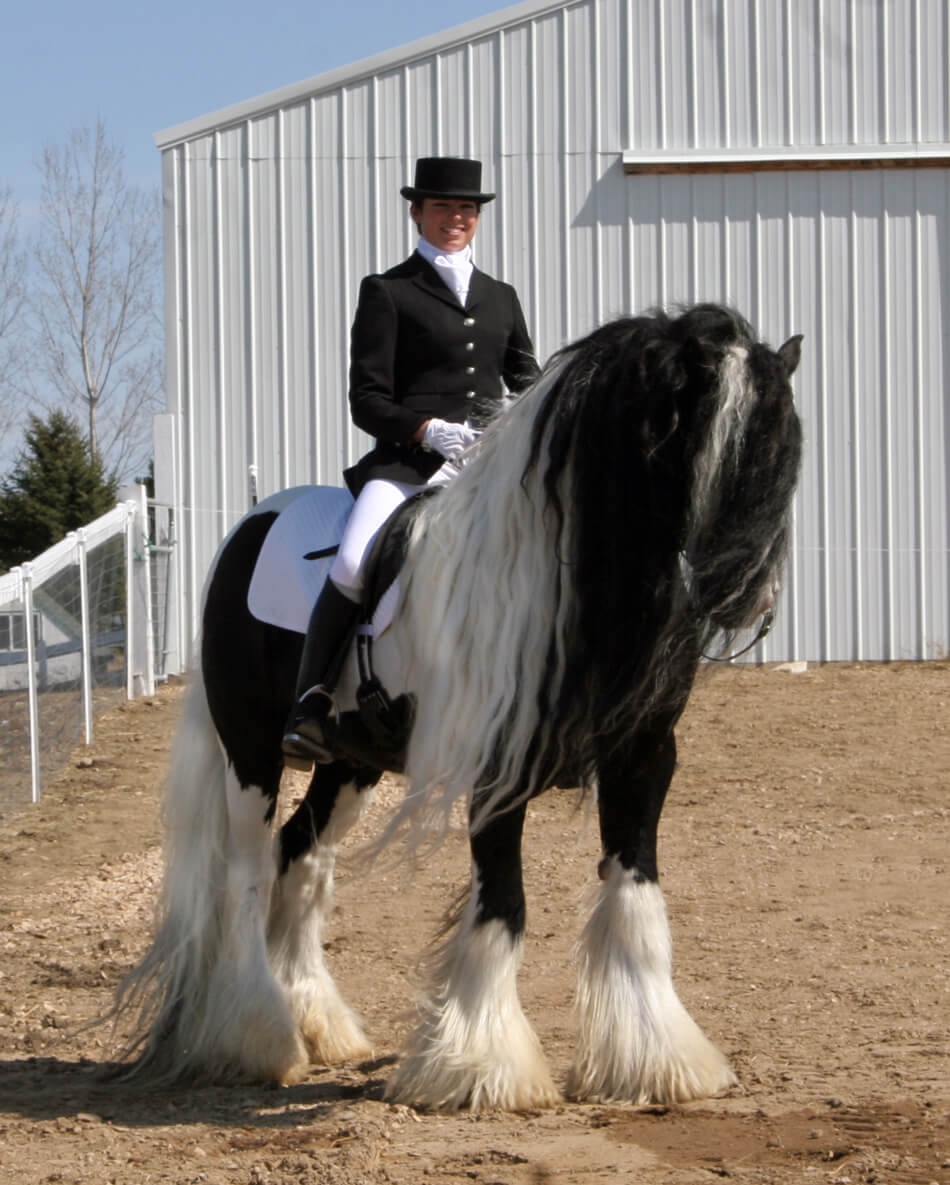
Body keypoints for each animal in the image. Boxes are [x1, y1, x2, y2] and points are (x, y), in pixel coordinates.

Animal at [114, 303, 805, 1109]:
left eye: (783, 451)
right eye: (700, 438)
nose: (748, 598)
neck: (559, 583)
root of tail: (249, 528)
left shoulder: (642, 757)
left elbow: (637, 891)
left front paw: (656, 1057)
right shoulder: (495, 769)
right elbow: (503, 901)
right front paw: (483, 1067)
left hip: (349, 764)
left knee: (302, 856)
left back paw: (320, 1027)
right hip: (252, 753)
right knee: (248, 875)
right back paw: (259, 1039)